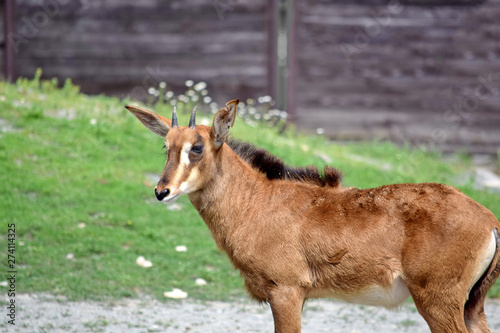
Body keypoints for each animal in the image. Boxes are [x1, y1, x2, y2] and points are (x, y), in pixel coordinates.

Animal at [126, 99, 500, 332]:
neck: (255, 201)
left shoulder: (286, 291)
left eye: (197, 147)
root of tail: (491, 222)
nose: (162, 191)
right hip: (471, 305)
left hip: (438, 301)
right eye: (166, 147)